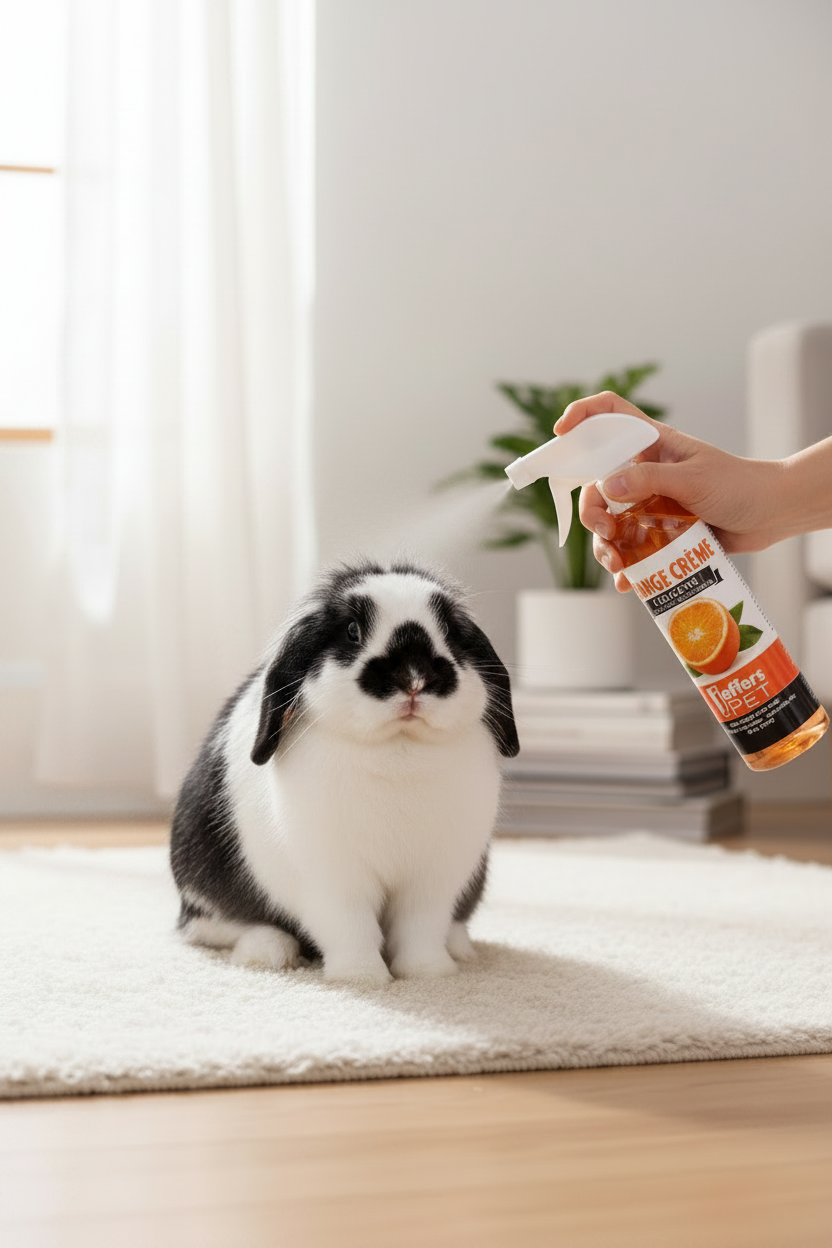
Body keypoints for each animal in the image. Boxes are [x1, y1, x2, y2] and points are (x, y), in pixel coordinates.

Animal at [169, 559, 519, 985]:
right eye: (352, 631)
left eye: (450, 631)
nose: (414, 679)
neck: (399, 747)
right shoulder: (333, 882)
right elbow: (352, 928)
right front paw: (362, 978)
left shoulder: (432, 881)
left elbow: (420, 928)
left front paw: (429, 974)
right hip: (203, 891)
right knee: (225, 926)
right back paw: (266, 954)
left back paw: (460, 949)